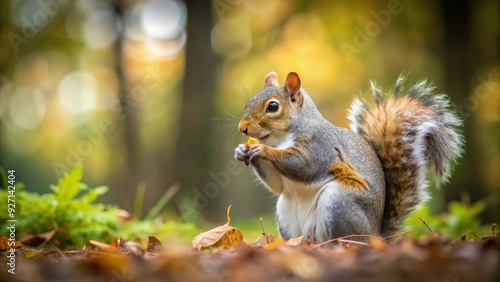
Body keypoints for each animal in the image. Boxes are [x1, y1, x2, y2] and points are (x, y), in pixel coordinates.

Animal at [234, 71, 464, 241]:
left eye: (273, 106)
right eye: (248, 101)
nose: (242, 128)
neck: (282, 138)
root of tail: (376, 235)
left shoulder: (321, 147)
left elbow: (303, 166)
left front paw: (263, 150)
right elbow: (277, 184)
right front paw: (241, 151)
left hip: (339, 202)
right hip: (286, 211)